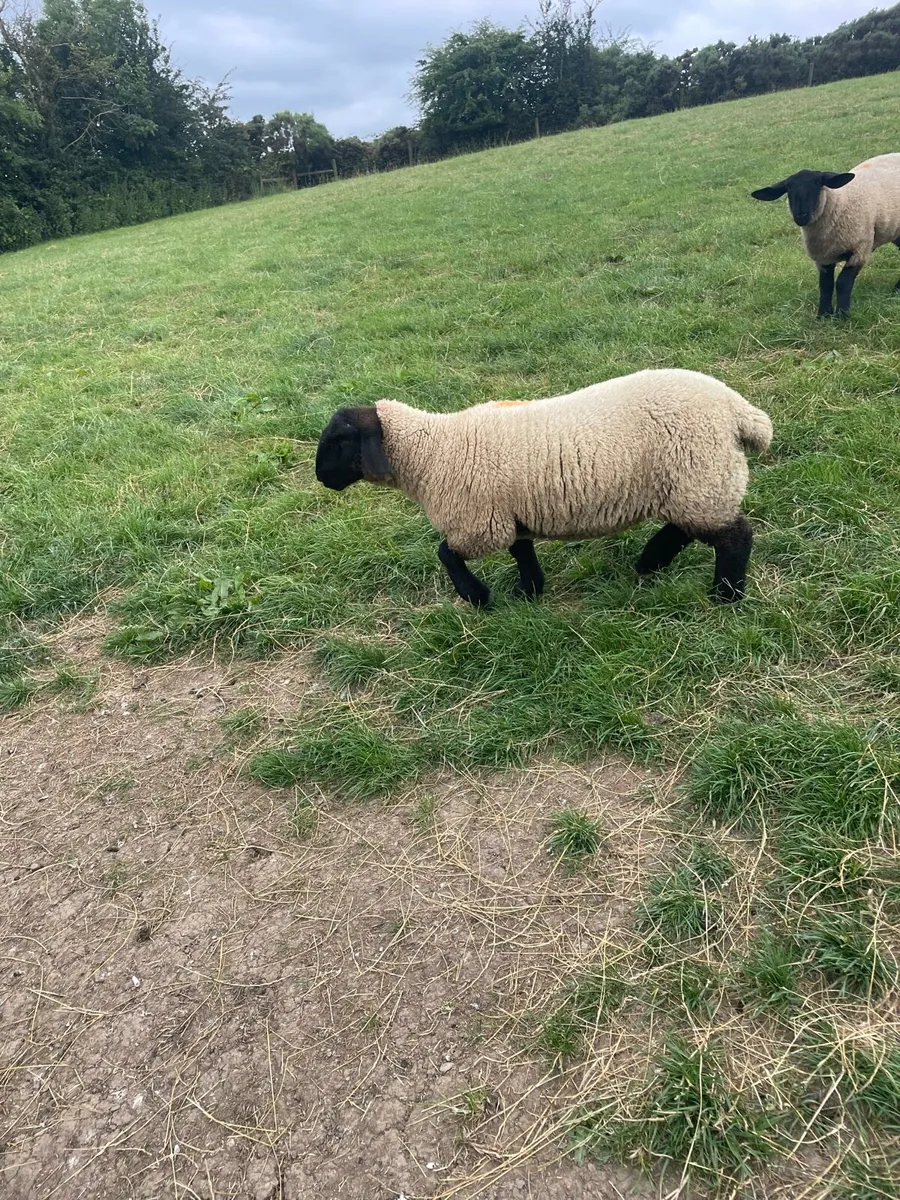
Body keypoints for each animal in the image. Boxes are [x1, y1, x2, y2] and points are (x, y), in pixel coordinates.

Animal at [314, 368, 773, 609]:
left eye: (339, 440)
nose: (320, 477)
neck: (430, 452)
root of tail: (739, 410)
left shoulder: (479, 523)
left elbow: (445, 552)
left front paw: (477, 596)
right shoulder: (508, 515)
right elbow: (522, 550)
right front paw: (529, 591)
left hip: (701, 474)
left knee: (734, 537)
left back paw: (725, 595)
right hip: (695, 483)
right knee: (686, 528)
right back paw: (651, 562)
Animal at [751, 153, 900, 317]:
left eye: (818, 183)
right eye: (788, 188)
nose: (801, 216)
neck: (840, 203)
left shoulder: (859, 250)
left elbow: (842, 282)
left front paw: (842, 315)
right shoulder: (823, 257)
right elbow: (825, 285)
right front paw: (823, 314)